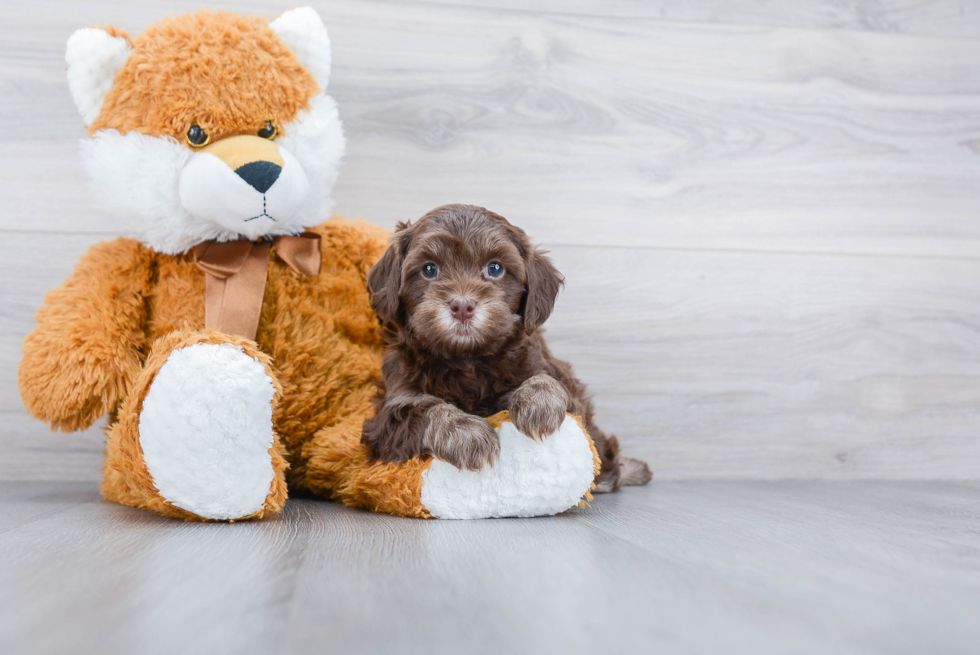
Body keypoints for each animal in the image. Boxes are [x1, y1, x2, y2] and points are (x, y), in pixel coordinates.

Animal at [360, 205, 652, 492]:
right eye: (429, 270)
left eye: (495, 268)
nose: (462, 306)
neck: (468, 358)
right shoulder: (390, 410)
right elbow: (425, 409)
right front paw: (467, 434)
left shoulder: (551, 373)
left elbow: (547, 380)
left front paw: (539, 404)